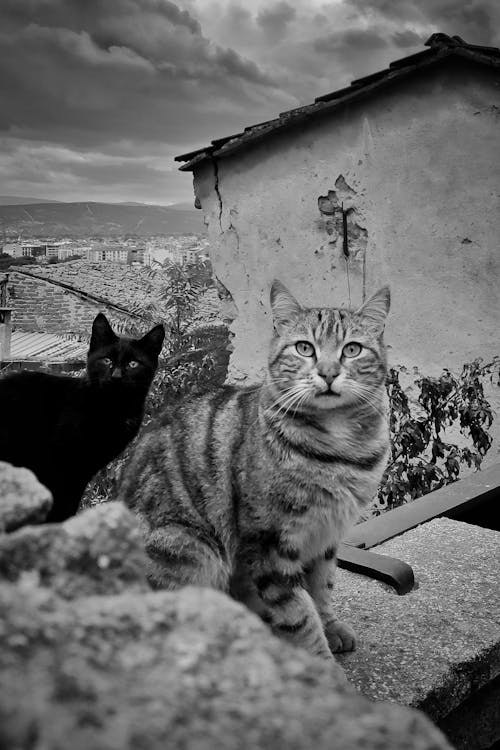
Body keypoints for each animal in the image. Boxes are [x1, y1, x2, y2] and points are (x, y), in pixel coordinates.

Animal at [0, 314, 164, 524]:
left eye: (133, 364)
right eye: (106, 360)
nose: (116, 376)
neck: (112, 409)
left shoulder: (84, 469)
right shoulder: (61, 462)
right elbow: (61, 503)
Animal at [120, 284, 390, 660]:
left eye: (352, 349)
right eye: (304, 348)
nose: (328, 373)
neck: (340, 447)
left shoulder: (326, 534)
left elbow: (322, 586)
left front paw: (330, 625)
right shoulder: (270, 546)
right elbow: (299, 615)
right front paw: (322, 663)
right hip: (194, 550)